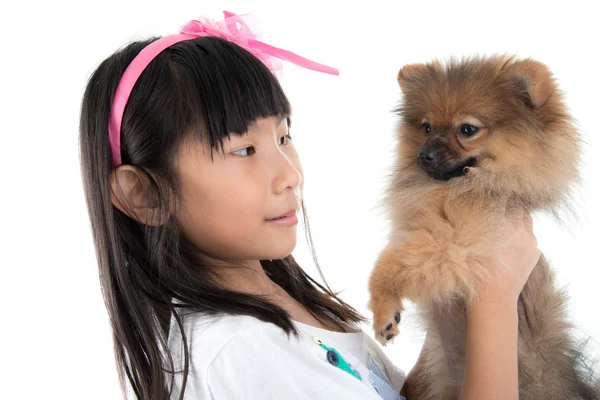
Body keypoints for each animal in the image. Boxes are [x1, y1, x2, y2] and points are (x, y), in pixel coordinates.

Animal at [366, 54, 600, 398]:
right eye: (426, 127)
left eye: (467, 129)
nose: (424, 155)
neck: (460, 187)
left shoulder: (458, 244)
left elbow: (392, 263)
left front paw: (382, 305)